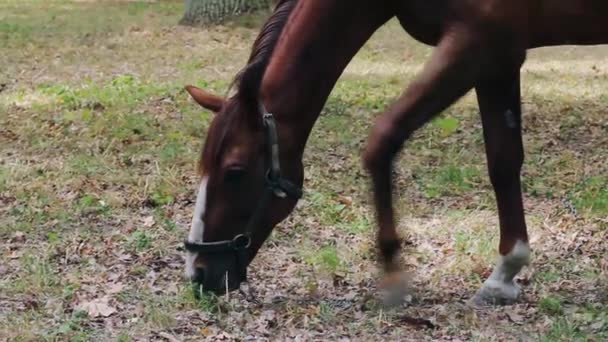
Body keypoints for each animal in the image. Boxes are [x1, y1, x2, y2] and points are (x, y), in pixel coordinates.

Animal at [184, 0, 608, 304]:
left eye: (235, 171)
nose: (197, 271)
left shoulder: (477, 42)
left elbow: (381, 142)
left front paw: (391, 272)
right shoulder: (499, 57)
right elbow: (502, 162)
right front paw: (504, 274)